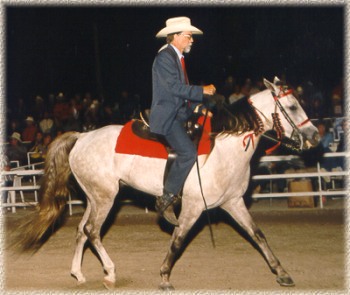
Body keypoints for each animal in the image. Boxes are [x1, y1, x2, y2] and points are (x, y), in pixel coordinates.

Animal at [16, 77, 318, 292]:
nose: (314, 135)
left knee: (81, 230)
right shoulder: (194, 207)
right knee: (92, 231)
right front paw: (163, 276)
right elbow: (178, 240)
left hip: (95, 197)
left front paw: (282, 273)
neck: (223, 149)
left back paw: (78, 274)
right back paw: (110, 273)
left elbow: (258, 234)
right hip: (104, 198)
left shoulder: (233, 202)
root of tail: (81, 137)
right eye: (292, 106)